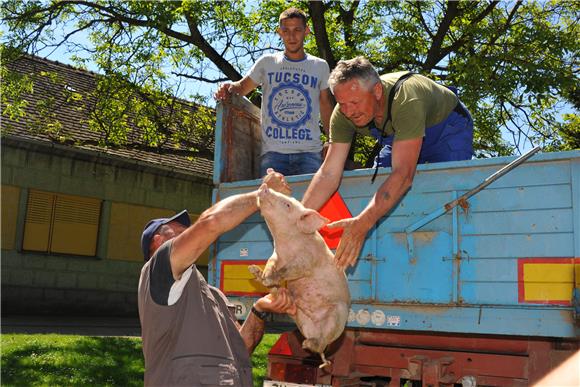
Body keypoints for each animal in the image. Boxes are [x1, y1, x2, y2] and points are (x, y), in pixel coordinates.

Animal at [248, 183, 348, 368]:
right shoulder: (275, 255)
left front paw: (269, 278)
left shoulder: (307, 260)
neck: (284, 245)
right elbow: (270, 262)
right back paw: (258, 274)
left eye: (287, 205)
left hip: (338, 315)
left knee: (322, 343)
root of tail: (315, 329)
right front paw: (265, 274)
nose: (265, 186)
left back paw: (307, 345)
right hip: (299, 317)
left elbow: (291, 269)